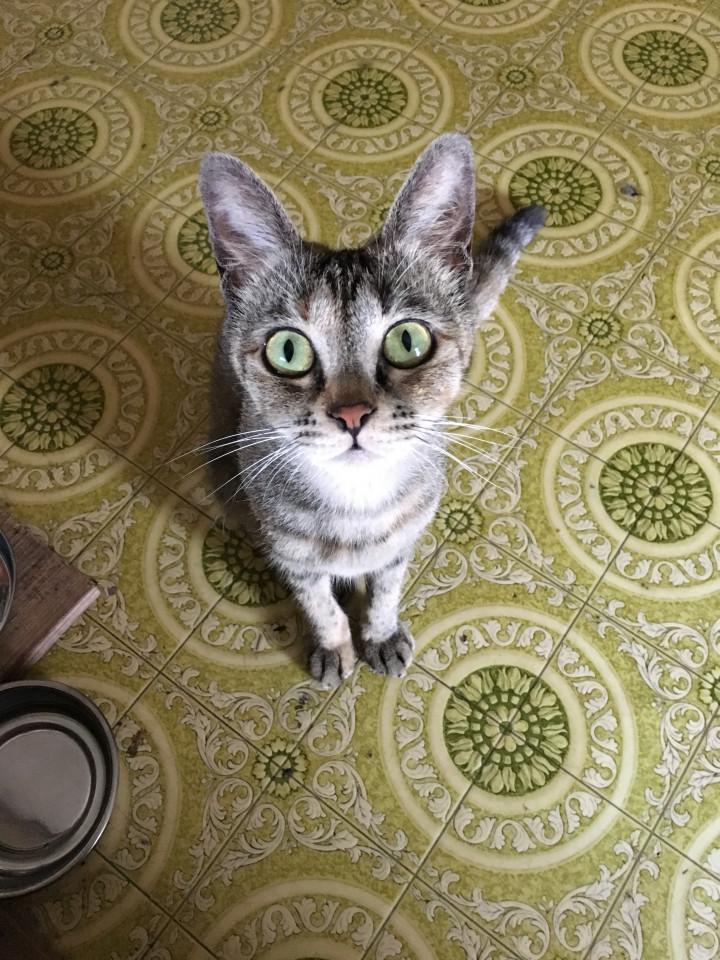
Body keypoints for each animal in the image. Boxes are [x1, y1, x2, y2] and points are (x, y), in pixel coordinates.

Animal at [199, 133, 545, 688]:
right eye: (287, 351)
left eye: (408, 341)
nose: (352, 414)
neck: (356, 505)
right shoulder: (292, 554)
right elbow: (320, 603)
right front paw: (334, 645)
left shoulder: (401, 542)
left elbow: (385, 593)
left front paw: (379, 635)